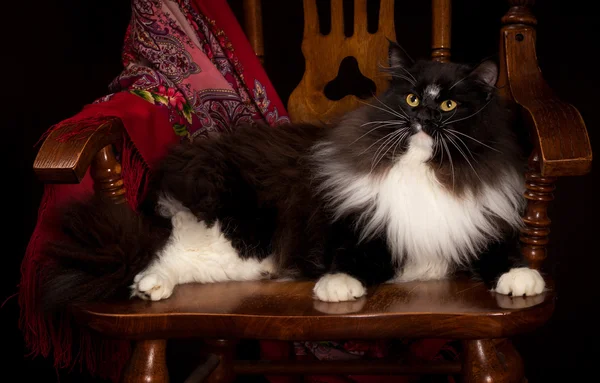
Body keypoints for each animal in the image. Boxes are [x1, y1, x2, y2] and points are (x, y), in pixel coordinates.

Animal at [39, 42, 548, 312]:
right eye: (409, 99)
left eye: (448, 105)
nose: (421, 118)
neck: (427, 175)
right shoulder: (359, 228)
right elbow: (355, 258)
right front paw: (336, 288)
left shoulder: (475, 228)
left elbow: (503, 254)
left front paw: (523, 280)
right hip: (241, 235)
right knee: (161, 252)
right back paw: (149, 286)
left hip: (238, 256)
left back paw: (152, 288)